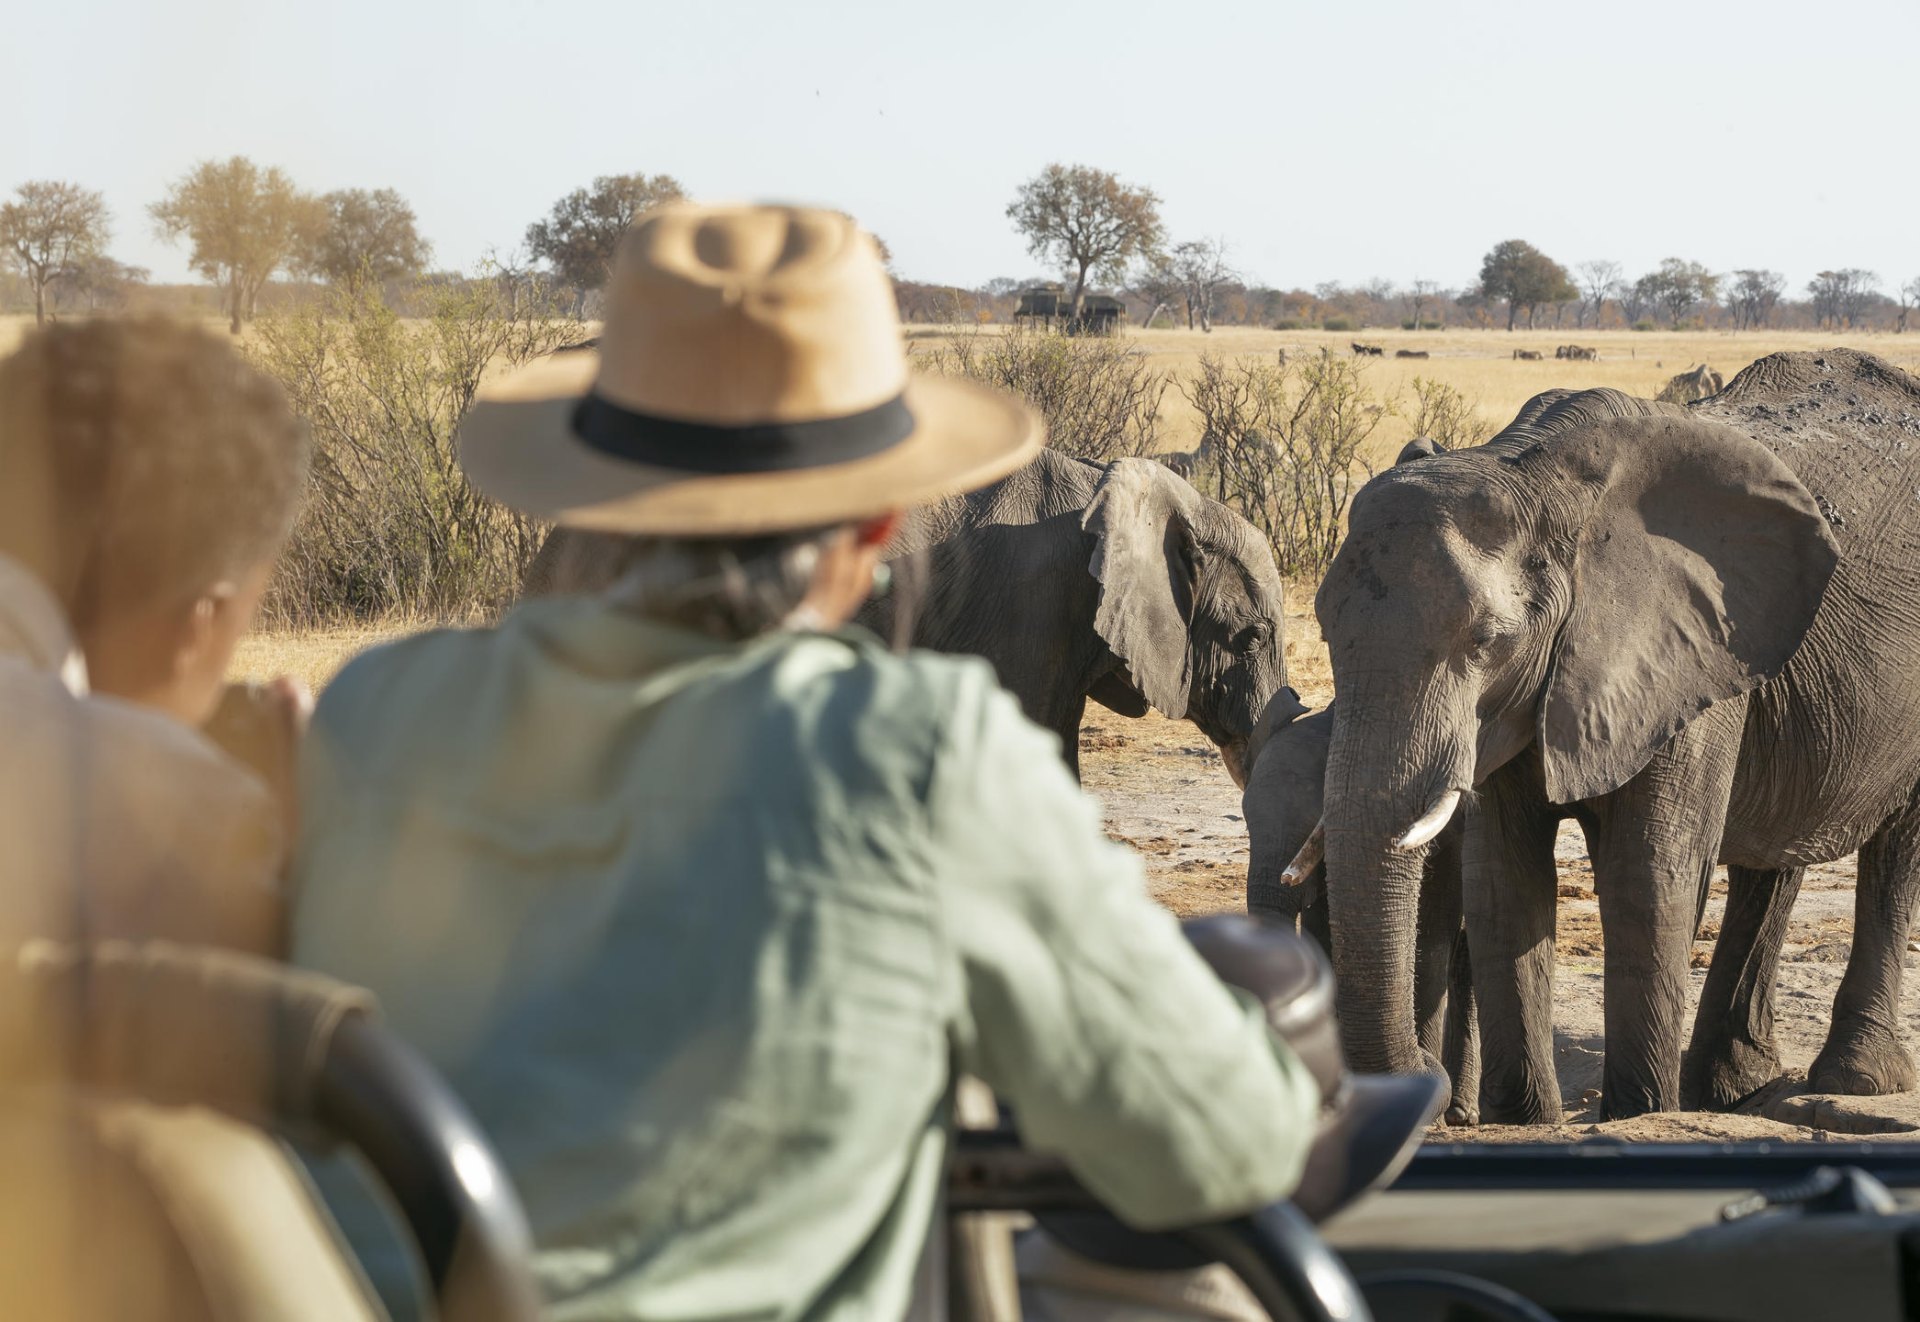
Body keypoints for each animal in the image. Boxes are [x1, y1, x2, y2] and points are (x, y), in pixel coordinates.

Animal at [1300, 349, 1920, 1124]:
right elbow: (1502, 880)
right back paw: (1731, 1088)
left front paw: (1638, 1114)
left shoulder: (1688, 649)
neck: (1533, 472)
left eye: (1487, 641)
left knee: (1894, 850)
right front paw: (1523, 1120)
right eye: (1325, 629)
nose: (1427, 1077)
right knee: (1772, 862)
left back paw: (1853, 1079)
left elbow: (1648, 874)